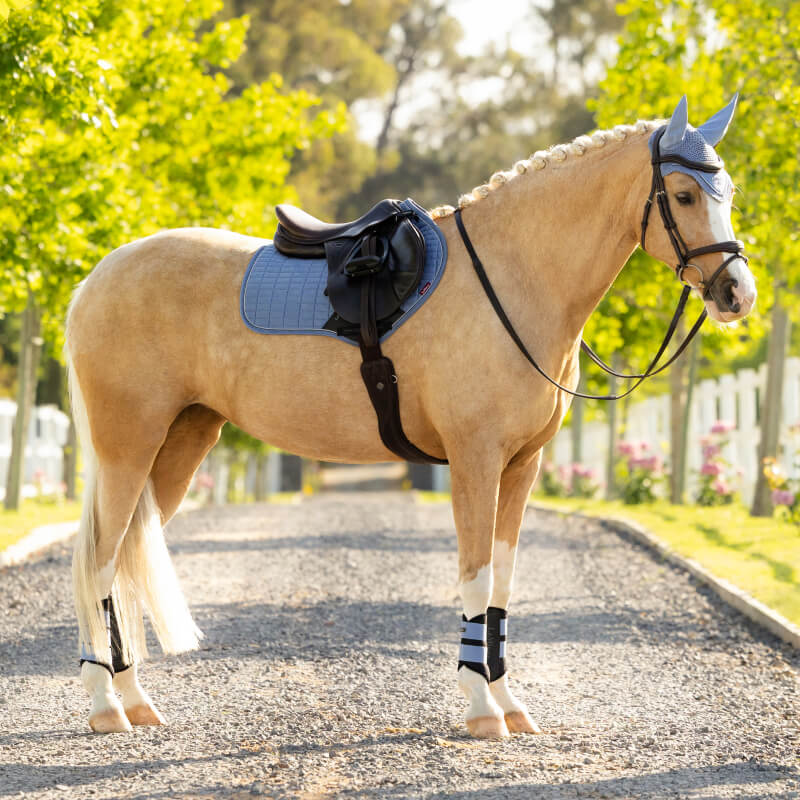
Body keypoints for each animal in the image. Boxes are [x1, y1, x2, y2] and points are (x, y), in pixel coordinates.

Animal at [66, 95, 756, 737]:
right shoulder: (475, 461)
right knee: (99, 558)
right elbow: (475, 580)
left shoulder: (522, 466)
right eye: (684, 194)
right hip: (129, 447)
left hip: (181, 444)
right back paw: (105, 707)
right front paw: (481, 710)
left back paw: (133, 699)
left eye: (729, 193)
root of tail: (97, 277)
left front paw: (509, 703)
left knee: (122, 559)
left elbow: (501, 586)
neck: (512, 278)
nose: (736, 295)